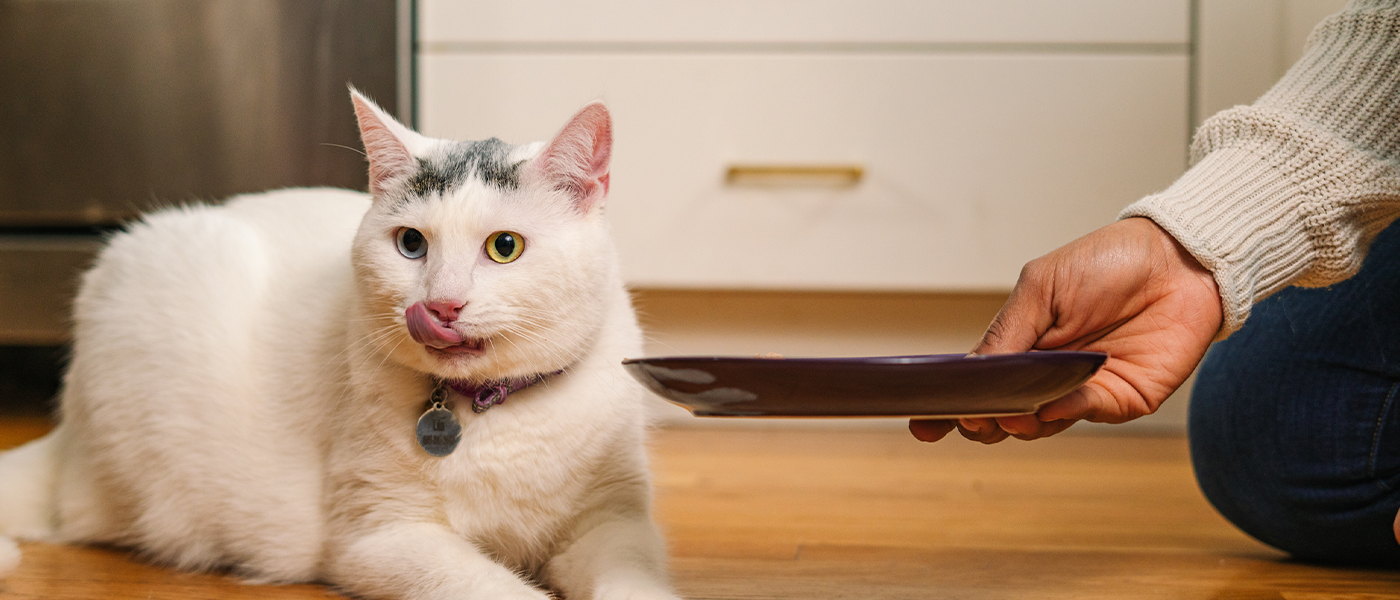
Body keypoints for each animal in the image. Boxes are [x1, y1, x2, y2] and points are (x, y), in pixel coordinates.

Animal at [0, 92, 680, 598]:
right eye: (411, 244)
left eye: (504, 247)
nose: (442, 305)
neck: (497, 412)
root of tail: (70, 436)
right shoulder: (380, 538)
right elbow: (497, 589)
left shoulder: (613, 524)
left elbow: (633, 580)